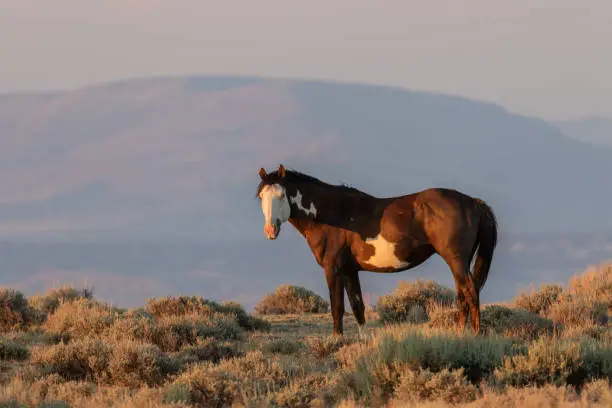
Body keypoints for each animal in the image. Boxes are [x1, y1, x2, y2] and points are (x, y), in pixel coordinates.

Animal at [255, 164, 498, 336]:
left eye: (281, 195)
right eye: (261, 197)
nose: (270, 230)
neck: (330, 214)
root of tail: (472, 202)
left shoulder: (332, 269)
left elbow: (337, 308)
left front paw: (337, 341)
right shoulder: (350, 271)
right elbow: (357, 307)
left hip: (456, 260)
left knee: (470, 291)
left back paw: (474, 335)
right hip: (459, 263)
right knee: (463, 294)